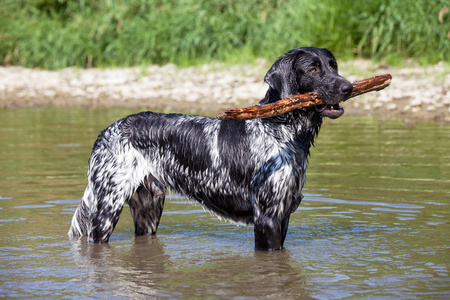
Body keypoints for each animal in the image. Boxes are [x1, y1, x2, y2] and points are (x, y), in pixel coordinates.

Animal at [68, 47, 354, 250]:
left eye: (334, 66)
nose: (348, 87)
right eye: (313, 69)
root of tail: (107, 131)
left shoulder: (283, 216)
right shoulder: (268, 217)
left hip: (148, 210)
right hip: (106, 210)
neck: (282, 129)